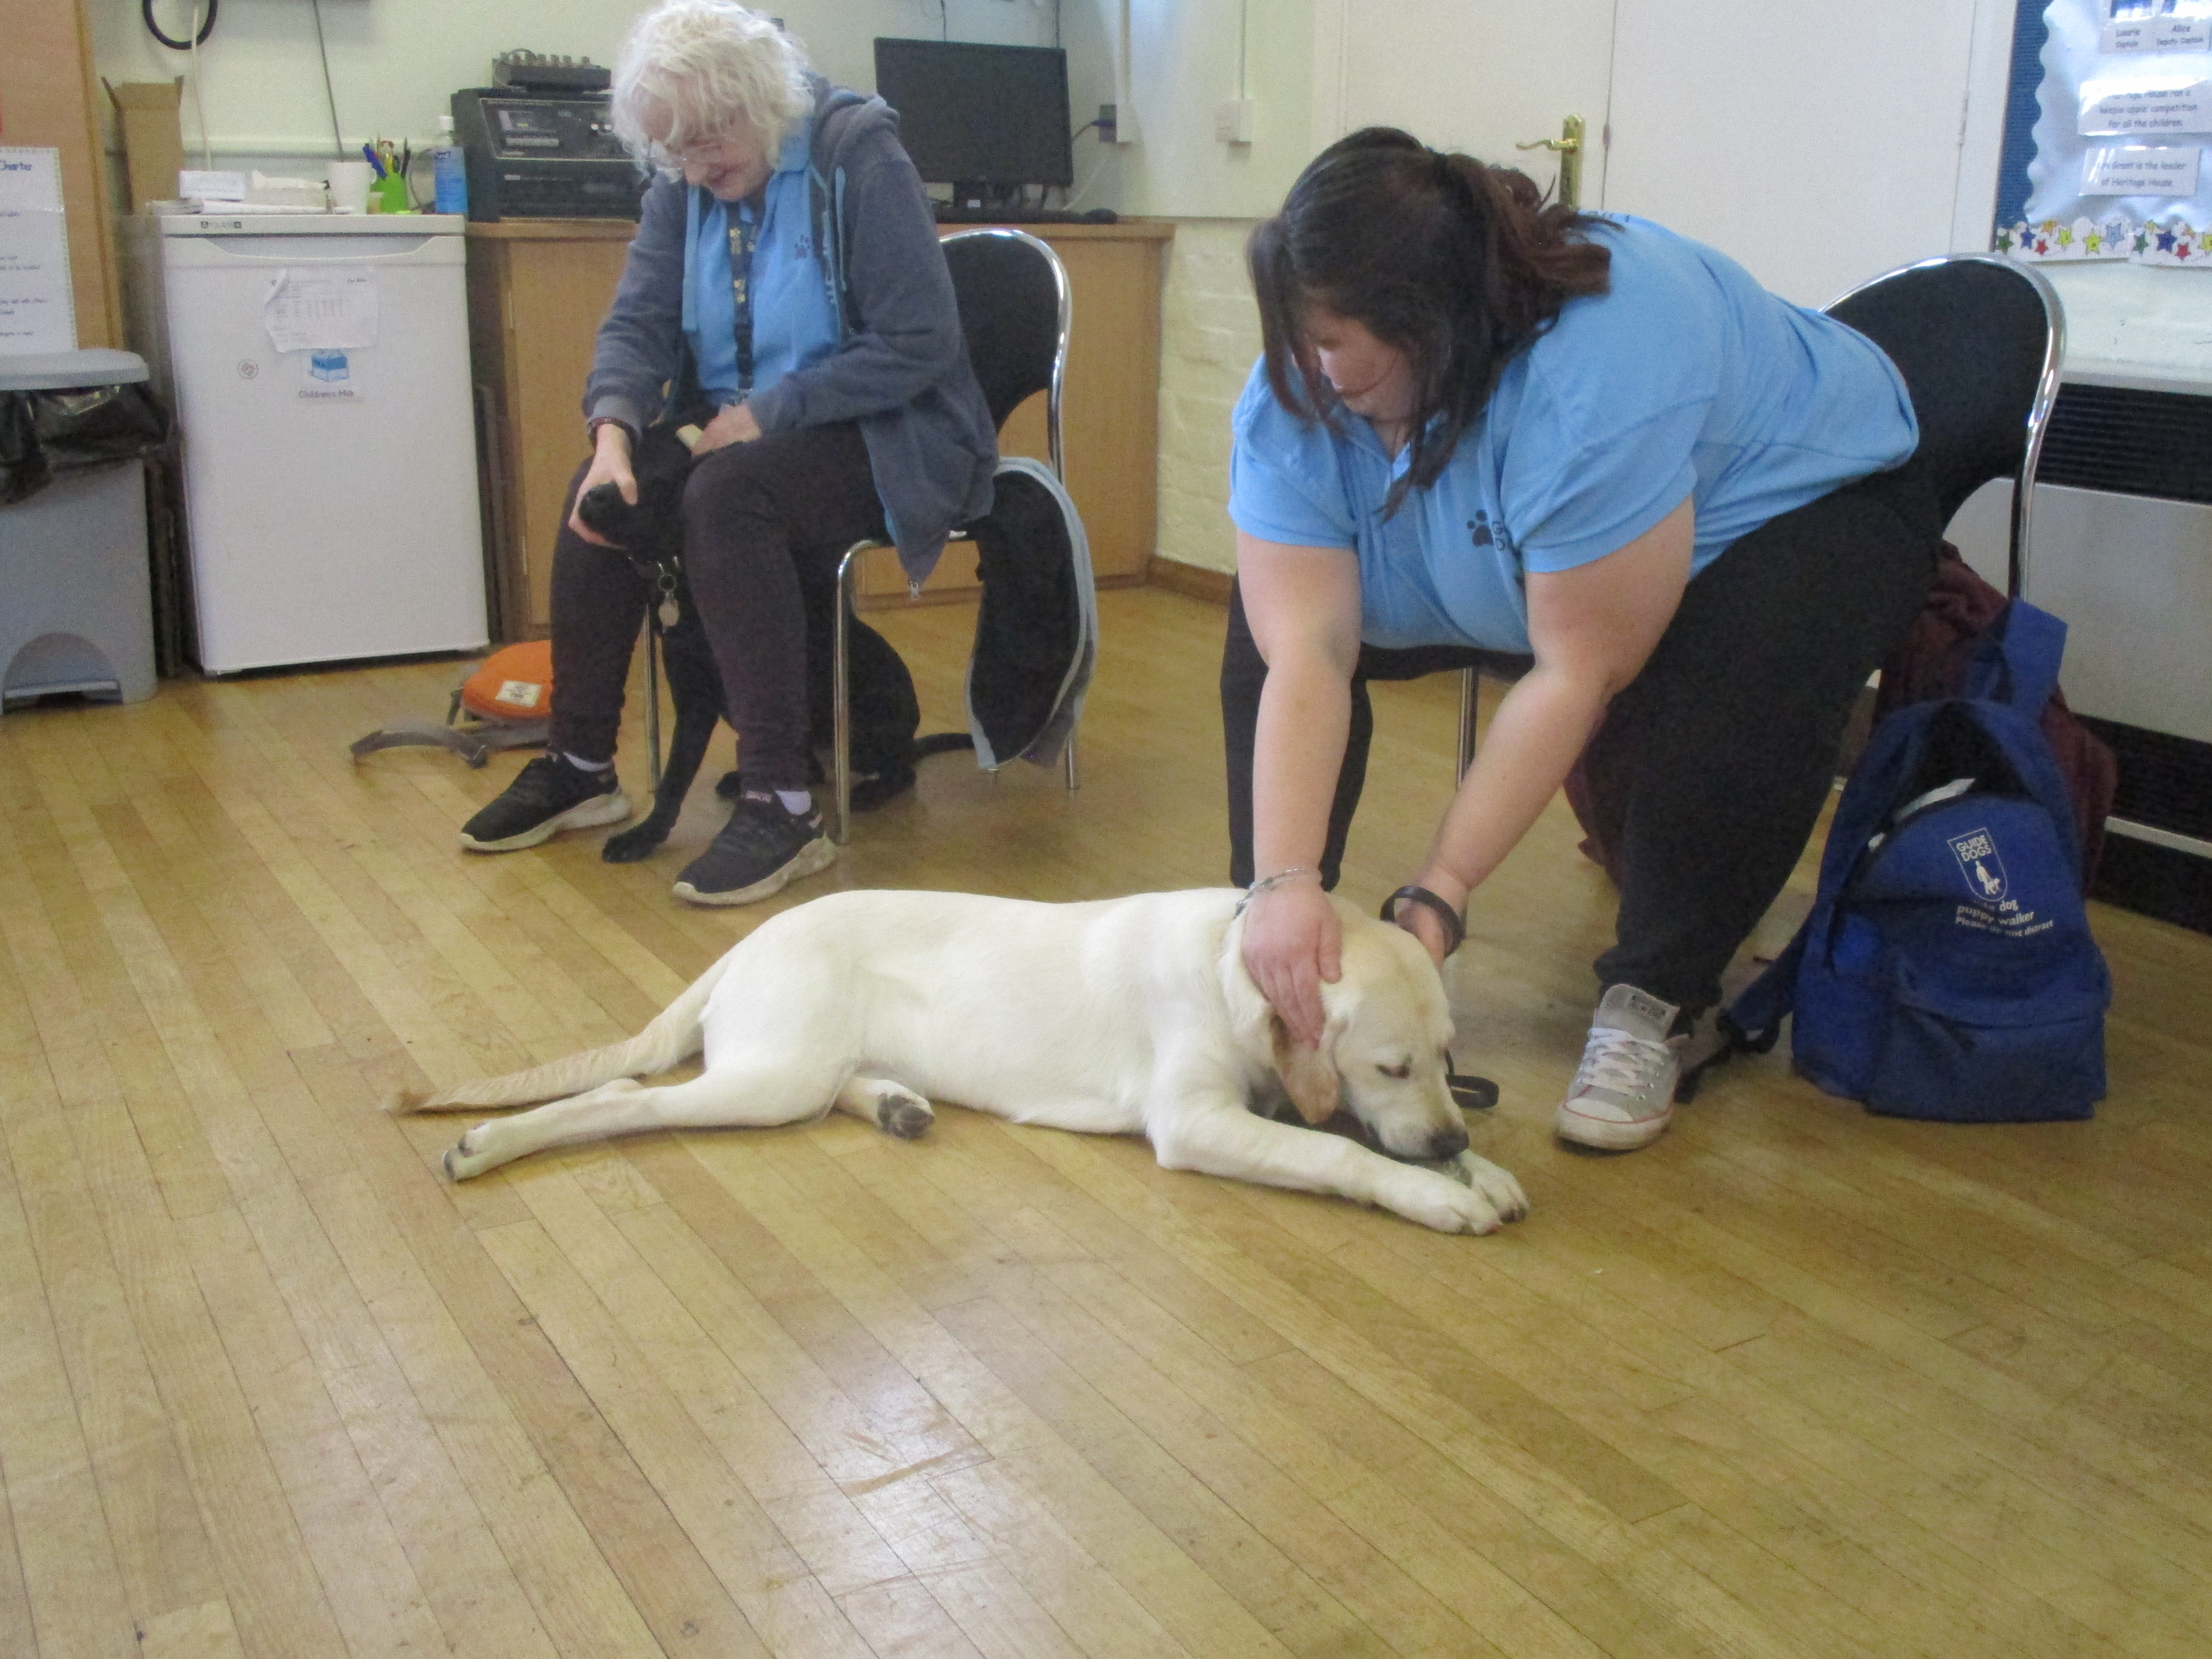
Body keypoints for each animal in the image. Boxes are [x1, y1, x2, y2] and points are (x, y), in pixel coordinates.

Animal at [575, 418, 955, 871]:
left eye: (653, 488)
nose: (592, 494)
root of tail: (909, 741)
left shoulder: (709, 704)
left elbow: (679, 779)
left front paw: (645, 837)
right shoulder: (693, 697)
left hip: (861, 729)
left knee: (898, 771)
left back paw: (872, 790)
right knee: (809, 767)